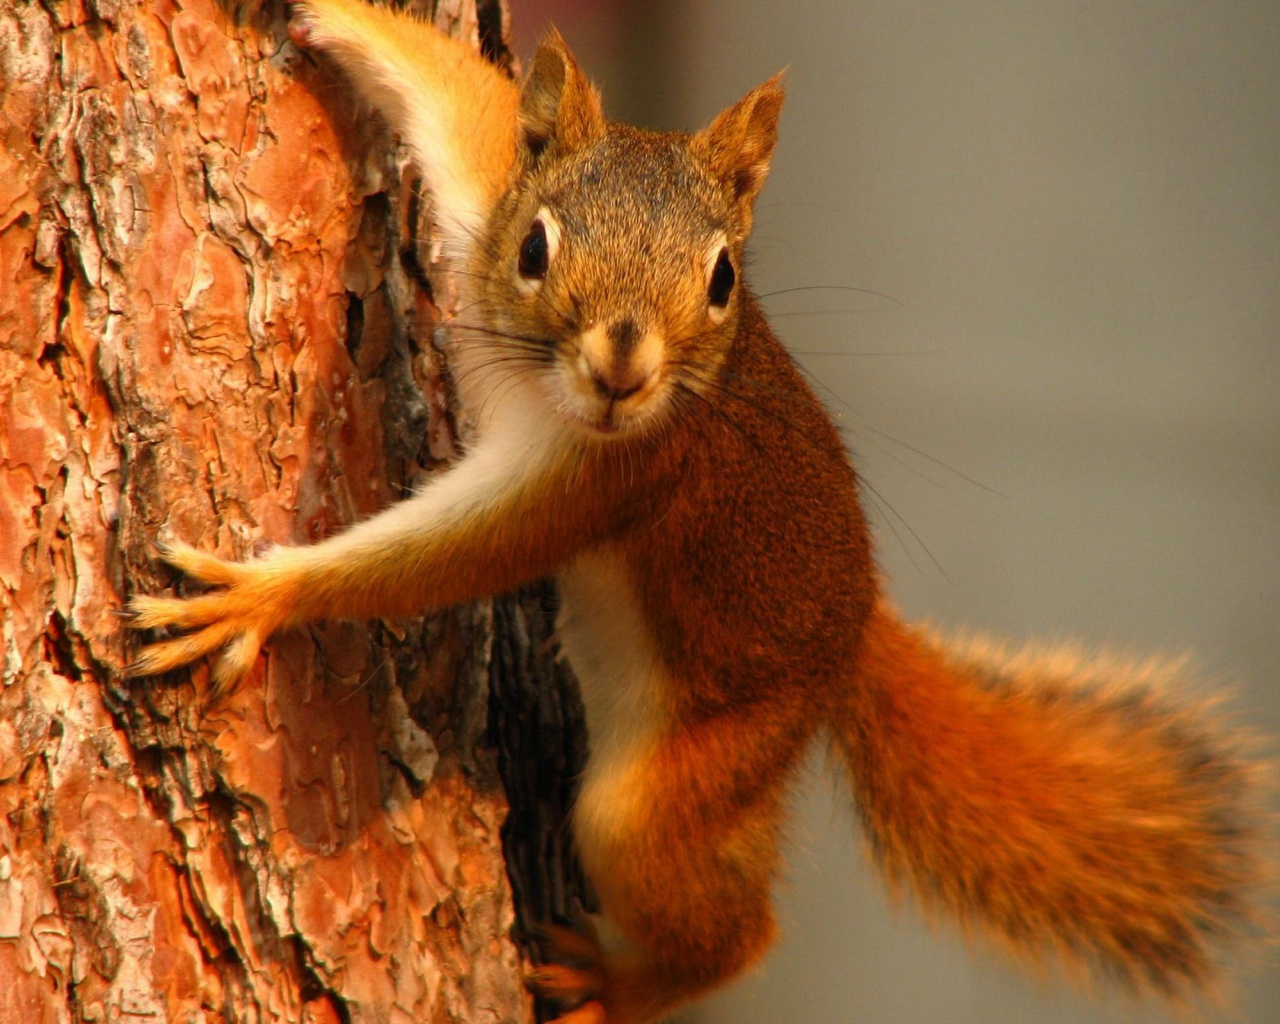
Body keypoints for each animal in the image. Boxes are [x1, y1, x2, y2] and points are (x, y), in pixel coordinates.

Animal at [124, 2, 1264, 1024]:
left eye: (722, 277)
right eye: (534, 248)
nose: (623, 368)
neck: (544, 390)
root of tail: (855, 634)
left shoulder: (609, 478)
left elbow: (448, 557)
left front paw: (261, 595)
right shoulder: (485, 196)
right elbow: (462, 102)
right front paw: (327, 15)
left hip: (692, 775)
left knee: (730, 928)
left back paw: (615, 986)